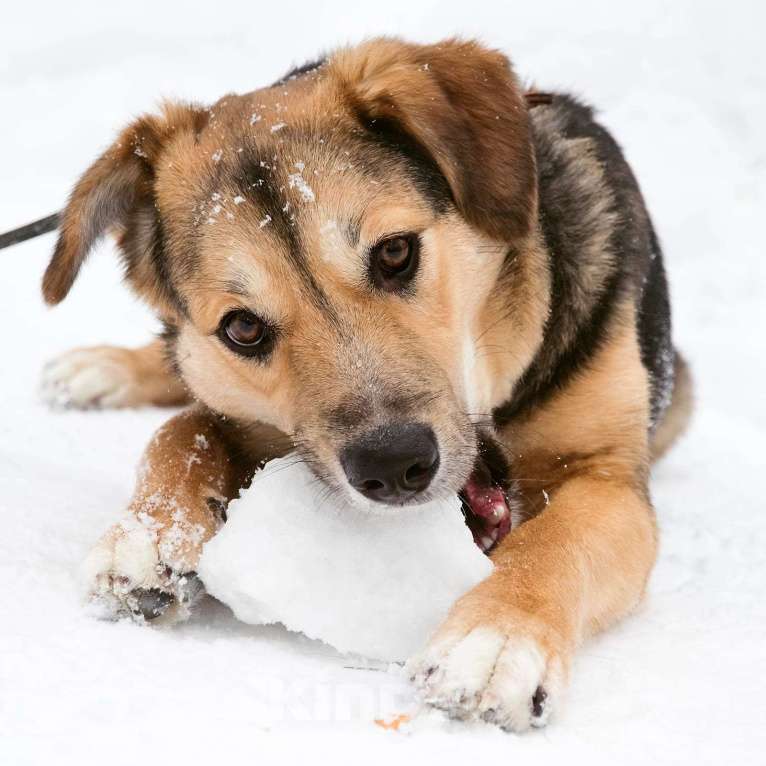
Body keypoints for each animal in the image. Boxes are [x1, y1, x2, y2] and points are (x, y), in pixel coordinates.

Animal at [39, 37, 692, 732]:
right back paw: (103, 369)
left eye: (395, 253)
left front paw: (495, 640)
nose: (393, 463)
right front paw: (144, 538)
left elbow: (554, 541)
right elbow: (181, 429)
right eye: (243, 328)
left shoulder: (606, 475)